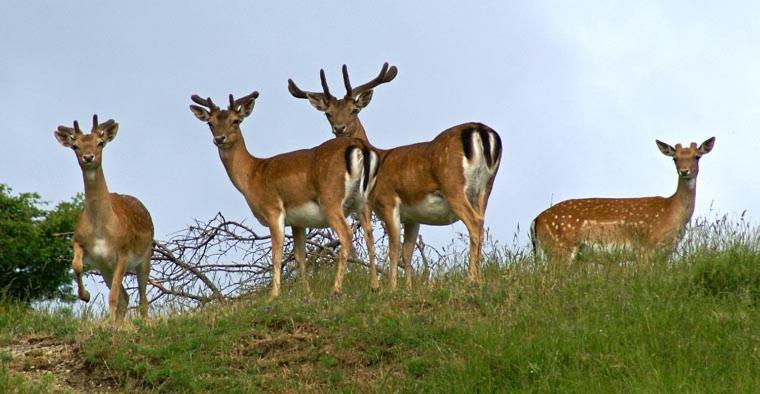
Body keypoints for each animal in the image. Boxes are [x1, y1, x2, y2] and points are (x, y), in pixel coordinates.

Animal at [54, 114, 154, 324]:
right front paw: (85, 296)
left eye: (100, 143)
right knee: (126, 297)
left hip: (145, 256)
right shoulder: (80, 242)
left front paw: (109, 324)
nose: (88, 157)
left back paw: (142, 322)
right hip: (105, 268)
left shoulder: (123, 253)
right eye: (75, 146)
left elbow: (113, 295)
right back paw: (120, 323)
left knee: (142, 298)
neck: (101, 229)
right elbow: (76, 265)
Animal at [189, 91, 378, 298]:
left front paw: (273, 295)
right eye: (210, 123)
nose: (219, 138)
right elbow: (299, 256)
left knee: (346, 234)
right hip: (363, 201)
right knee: (369, 234)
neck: (252, 176)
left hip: (331, 199)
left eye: (236, 120)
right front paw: (307, 295)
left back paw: (335, 290)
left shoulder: (273, 209)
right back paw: (375, 286)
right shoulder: (298, 221)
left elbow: (277, 254)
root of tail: (359, 147)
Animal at [288, 61, 502, 290]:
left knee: (474, 222)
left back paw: (472, 279)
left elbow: (393, 250)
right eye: (328, 113)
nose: (339, 128)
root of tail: (481, 131)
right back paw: (479, 278)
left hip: (453, 185)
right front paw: (407, 288)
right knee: (482, 221)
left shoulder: (388, 200)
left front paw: (391, 288)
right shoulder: (413, 216)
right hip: (487, 186)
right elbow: (407, 253)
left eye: (354, 110)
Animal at [528, 136, 712, 262]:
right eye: (675, 158)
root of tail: (535, 221)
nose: (684, 171)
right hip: (560, 248)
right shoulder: (644, 248)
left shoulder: (664, 254)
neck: (671, 213)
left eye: (697, 156)